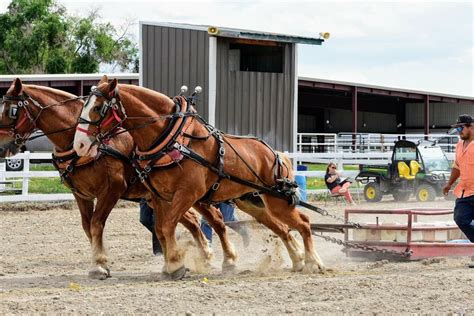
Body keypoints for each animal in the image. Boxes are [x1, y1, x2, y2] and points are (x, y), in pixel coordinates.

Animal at [0, 78, 234, 278]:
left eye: (12, 111)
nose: (2, 147)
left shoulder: (112, 189)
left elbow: (96, 224)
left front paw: (98, 265)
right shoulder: (81, 195)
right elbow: (88, 227)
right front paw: (100, 262)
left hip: (193, 193)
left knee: (215, 218)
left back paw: (221, 260)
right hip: (163, 197)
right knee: (192, 221)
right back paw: (201, 257)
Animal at [74, 75, 326, 278]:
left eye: (97, 107)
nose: (79, 145)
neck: (173, 139)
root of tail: (276, 154)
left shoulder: (187, 193)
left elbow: (167, 226)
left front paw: (175, 265)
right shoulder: (160, 197)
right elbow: (161, 229)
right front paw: (172, 263)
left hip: (276, 200)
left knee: (304, 223)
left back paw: (313, 262)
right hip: (253, 202)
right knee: (282, 228)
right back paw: (297, 260)